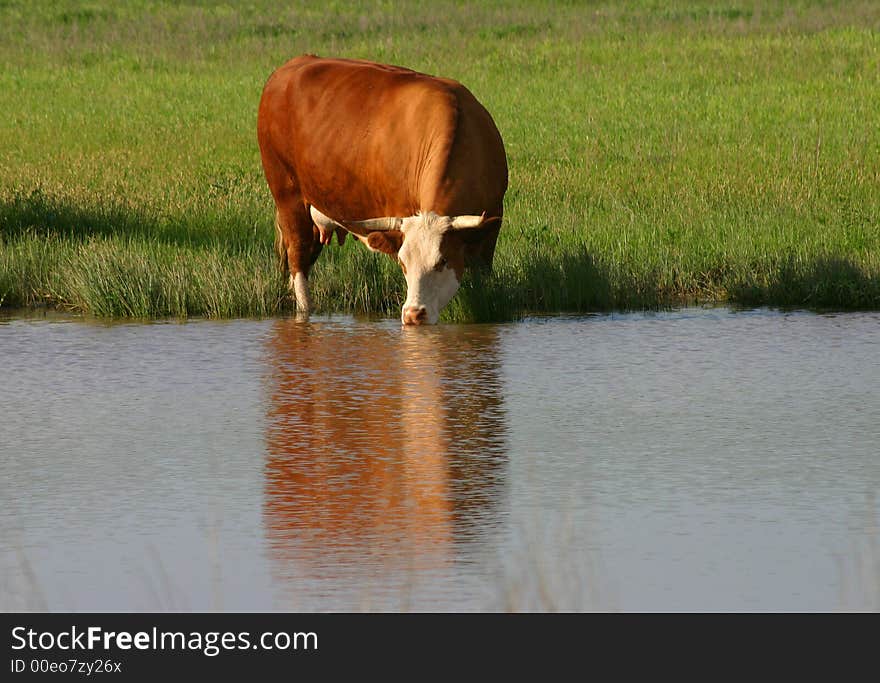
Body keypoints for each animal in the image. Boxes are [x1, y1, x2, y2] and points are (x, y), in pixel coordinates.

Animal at [254, 53, 508, 326]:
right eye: (403, 263)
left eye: (442, 261)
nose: (413, 314)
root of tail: (293, 64)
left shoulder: (491, 226)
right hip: (288, 197)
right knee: (298, 258)